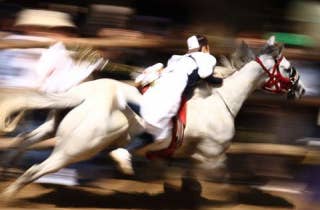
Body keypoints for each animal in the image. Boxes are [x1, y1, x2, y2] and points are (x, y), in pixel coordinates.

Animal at [0, 36, 304, 197]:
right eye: (288, 69)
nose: (301, 89)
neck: (222, 99)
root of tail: (83, 95)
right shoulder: (212, 154)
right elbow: (220, 181)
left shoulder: (176, 154)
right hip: (77, 148)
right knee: (35, 170)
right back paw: (11, 194)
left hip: (54, 128)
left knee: (24, 141)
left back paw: (8, 168)